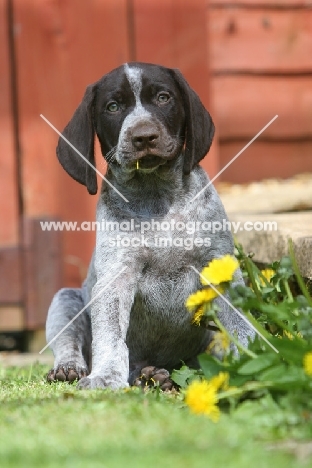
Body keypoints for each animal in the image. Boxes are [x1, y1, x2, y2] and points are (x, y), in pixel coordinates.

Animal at [45, 64, 254, 390]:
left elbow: (240, 325)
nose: (144, 137)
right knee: (71, 344)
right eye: (113, 107)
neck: (156, 196)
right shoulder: (116, 277)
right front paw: (105, 376)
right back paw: (74, 369)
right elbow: (111, 337)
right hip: (65, 300)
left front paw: (253, 361)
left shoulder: (219, 266)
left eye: (163, 97)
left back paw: (154, 376)